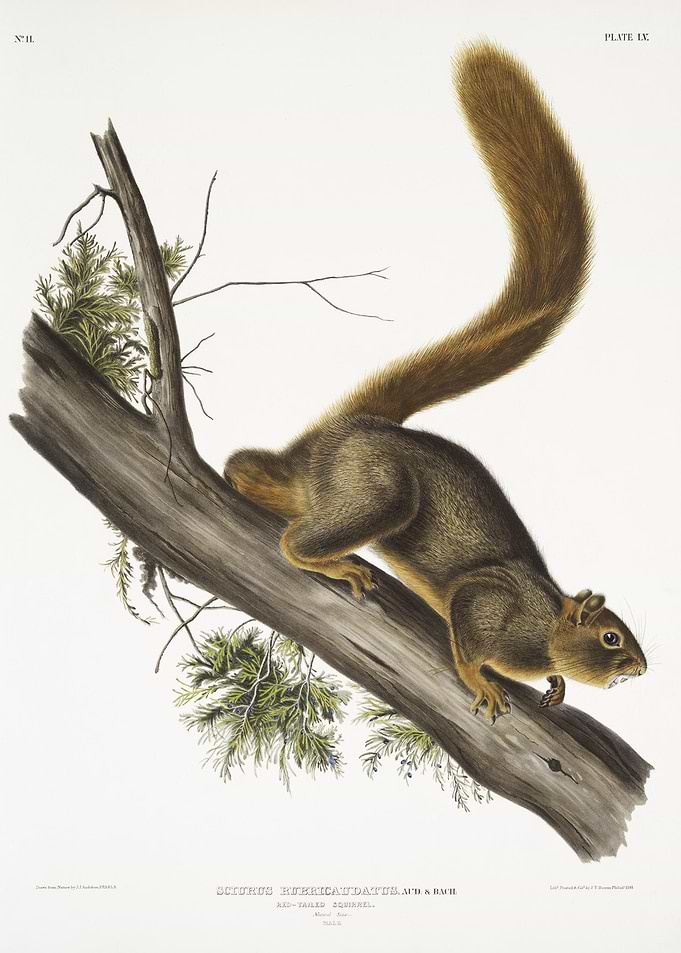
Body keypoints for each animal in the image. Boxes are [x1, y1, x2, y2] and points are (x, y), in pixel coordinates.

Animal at [224, 41, 647, 723]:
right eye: (611, 637)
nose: (643, 666)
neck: (546, 622)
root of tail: (352, 427)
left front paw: (555, 684)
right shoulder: (486, 602)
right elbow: (470, 633)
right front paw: (483, 680)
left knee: (256, 472)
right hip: (377, 491)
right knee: (293, 533)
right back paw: (333, 563)